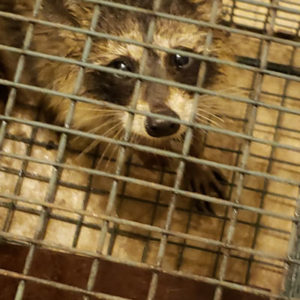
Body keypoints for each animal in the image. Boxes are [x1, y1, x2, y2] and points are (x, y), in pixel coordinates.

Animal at [0, 0, 232, 212]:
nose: (163, 124)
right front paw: (145, 146)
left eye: (181, 58)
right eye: (121, 67)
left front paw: (193, 157)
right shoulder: (44, 53)